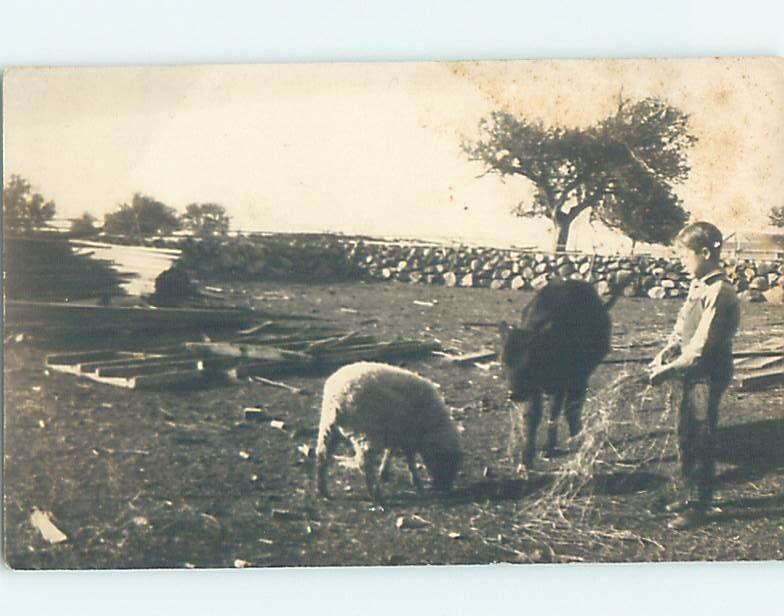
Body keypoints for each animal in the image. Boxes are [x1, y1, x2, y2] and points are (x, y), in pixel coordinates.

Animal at [316, 360, 462, 500]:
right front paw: (416, 481)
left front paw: (384, 473)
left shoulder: (397, 432)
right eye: (446, 462)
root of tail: (338, 399)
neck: (432, 424)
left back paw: (323, 491)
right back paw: (375, 494)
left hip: (329, 426)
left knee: (322, 455)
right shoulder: (406, 433)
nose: (445, 489)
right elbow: (409, 458)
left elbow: (392, 451)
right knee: (364, 463)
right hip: (366, 431)